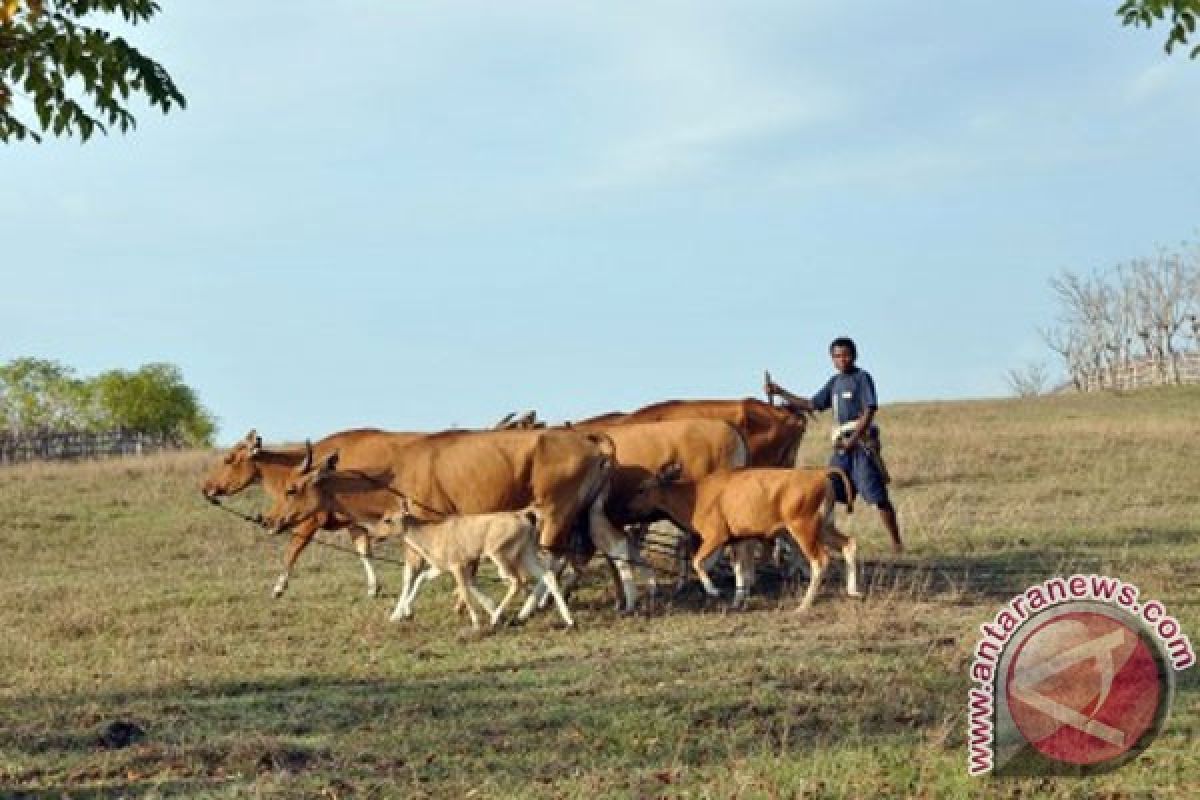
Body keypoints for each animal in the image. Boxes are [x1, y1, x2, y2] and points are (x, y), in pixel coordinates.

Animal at [206, 429, 427, 597]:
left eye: (228, 459)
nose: (206, 487)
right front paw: (373, 588)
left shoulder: (309, 520)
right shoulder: (354, 523)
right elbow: (363, 551)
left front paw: (279, 587)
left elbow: (292, 549)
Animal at [268, 429, 643, 618]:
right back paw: (628, 602)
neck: (398, 471)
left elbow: (413, 572)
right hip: (588, 512)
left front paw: (401, 611)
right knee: (614, 547)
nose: (268, 520)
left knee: (553, 558)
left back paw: (528, 609)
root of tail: (590, 440)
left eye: (291, 488)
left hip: (554, 512)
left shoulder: (425, 527)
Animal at [624, 462, 859, 606]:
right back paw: (853, 591)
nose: (627, 508)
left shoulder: (716, 537)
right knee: (849, 544)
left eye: (642, 489)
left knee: (820, 560)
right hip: (824, 527)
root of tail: (820, 474)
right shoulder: (737, 540)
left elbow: (697, 562)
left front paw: (714, 591)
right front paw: (738, 600)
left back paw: (804, 605)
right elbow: (739, 570)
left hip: (803, 529)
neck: (696, 495)